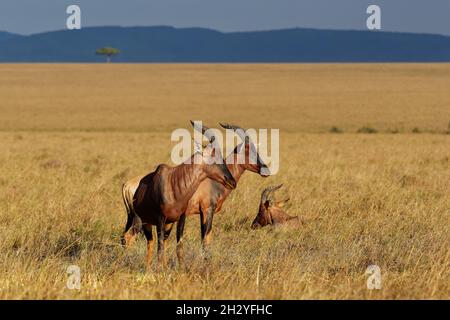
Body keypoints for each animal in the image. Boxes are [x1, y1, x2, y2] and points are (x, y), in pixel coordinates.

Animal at [121, 121, 237, 272]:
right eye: (214, 156)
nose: (232, 181)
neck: (173, 182)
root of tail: (129, 186)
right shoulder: (160, 219)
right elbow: (159, 248)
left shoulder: (181, 218)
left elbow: (179, 247)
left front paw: (181, 270)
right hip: (145, 222)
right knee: (149, 243)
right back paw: (149, 269)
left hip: (168, 224)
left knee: (162, 241)